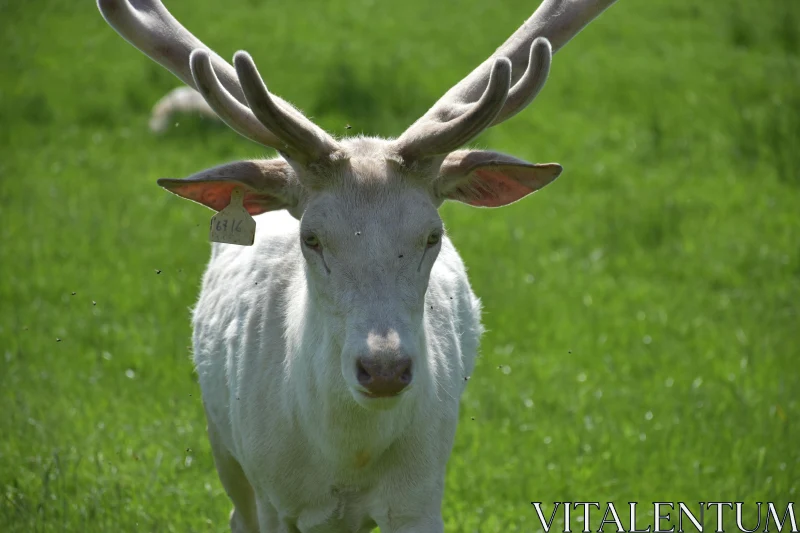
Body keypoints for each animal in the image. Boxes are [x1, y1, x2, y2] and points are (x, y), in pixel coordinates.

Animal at [97, 1, 616, 532]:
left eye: (433, 235)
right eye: (311, 238)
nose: (384, 369)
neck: (347, 461)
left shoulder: (420, 494)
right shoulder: (272, 495)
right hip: (224, 445)